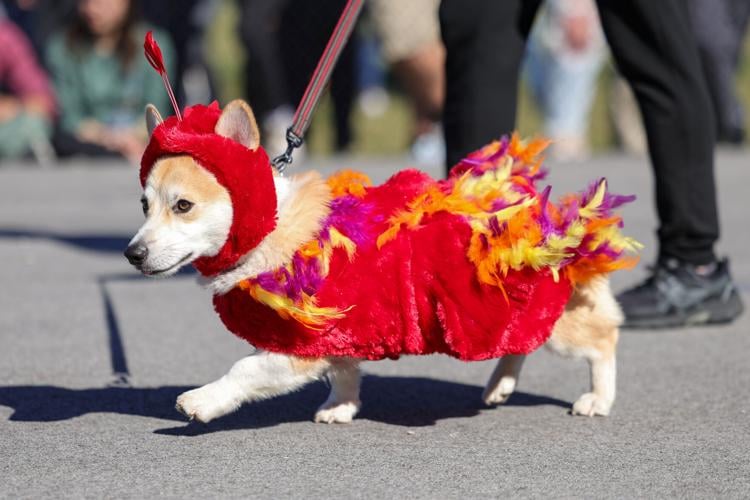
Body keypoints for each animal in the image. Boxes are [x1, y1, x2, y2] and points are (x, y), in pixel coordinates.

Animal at [128, 99, 636, 424]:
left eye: (183, 206)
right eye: (144, 205)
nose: (133, 254)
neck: (271, 231)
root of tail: (546, 209)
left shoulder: (299, 346)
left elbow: (244, 370)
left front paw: (201, 401)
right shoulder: (340, 335)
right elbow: (345, 373)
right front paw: (341, 408)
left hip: (558, 322)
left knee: (603, 340)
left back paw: (599, 399)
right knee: (518, 344)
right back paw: (500, 386)